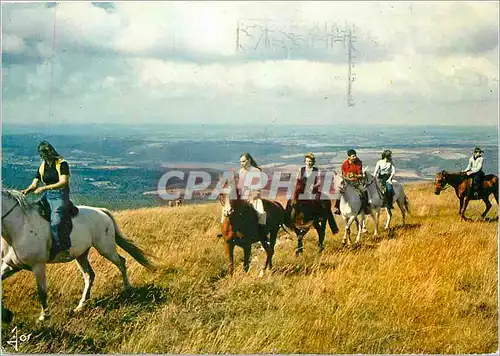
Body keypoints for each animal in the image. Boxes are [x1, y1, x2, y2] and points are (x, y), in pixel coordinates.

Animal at [0, 189, 155, 322]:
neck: (19, 228)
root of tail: (102, 211)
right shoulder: (11, 265)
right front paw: (6, 314)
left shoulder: (38, 266)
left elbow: (41, 291)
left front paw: (44, 316)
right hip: (81, 255)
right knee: (89, 275)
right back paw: (81, 306)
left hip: (105, 248)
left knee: (121, 262)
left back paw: (128, 288)